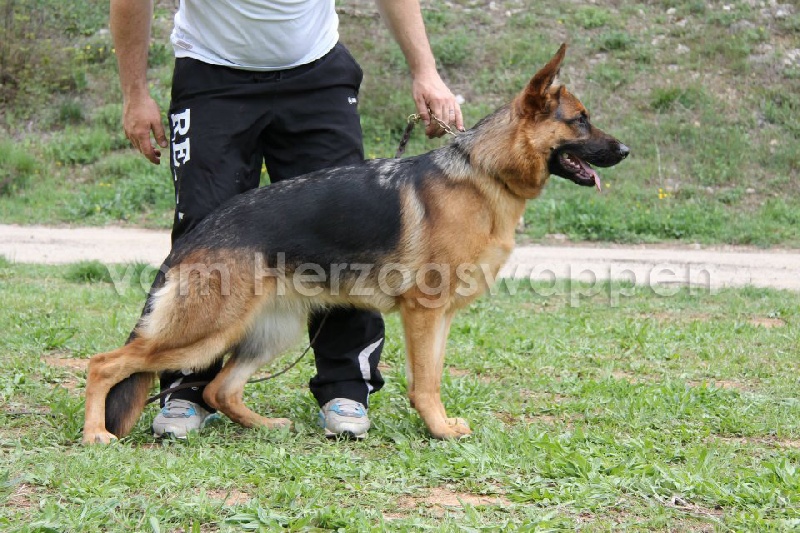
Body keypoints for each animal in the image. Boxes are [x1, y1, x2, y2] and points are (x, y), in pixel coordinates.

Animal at [83, 45, 632, 442]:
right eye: (581, 119)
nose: (626, 149)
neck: (484, 172)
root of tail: (194, 235)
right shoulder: (424, 312)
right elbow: (425, 382)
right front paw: (438, 429)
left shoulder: (440, 317)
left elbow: (432, 375)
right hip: (205, 332)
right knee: (105, 363)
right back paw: (95, 435)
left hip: (270, 331)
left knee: (219, 388)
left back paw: (266, 427)